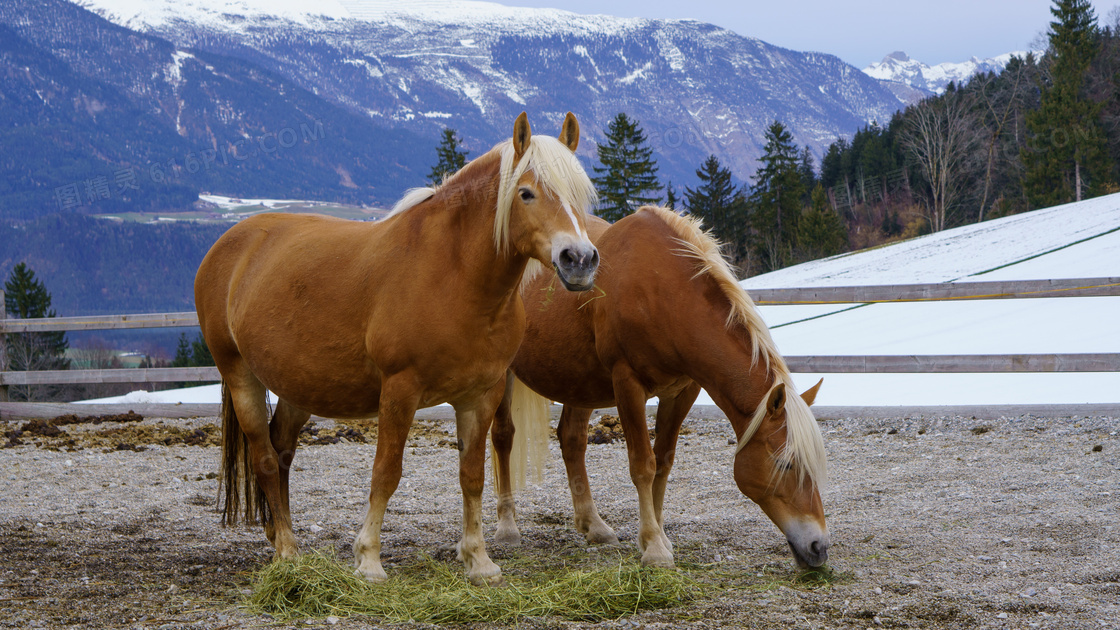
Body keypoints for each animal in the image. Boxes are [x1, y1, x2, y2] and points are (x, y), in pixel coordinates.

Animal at [197, 112, 600, 582]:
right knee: (262, 458)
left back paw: (276, 533)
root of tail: (229, 245)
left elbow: (472, 476)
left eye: (580, 194)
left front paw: (478, 559)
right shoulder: (399, 391)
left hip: (299, 387)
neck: (453, 276)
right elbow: (386, 473)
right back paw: (288, 552)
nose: (580, 260)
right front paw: (369, 559)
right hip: (240, 375)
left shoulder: (480, 396)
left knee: (281, 452)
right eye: (526, 193)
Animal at [490, 207, 833, 569]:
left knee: (571, 440)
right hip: (502, 376)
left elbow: (663, 463)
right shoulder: (627, 385)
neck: (663, 292)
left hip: (579, 382)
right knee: (503, 438)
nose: (819, 547)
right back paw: (507, 528)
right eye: (785, 464)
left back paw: (593, 525)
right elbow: (643, 465)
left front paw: (660, 536)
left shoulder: (682, 392)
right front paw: (653, 546)